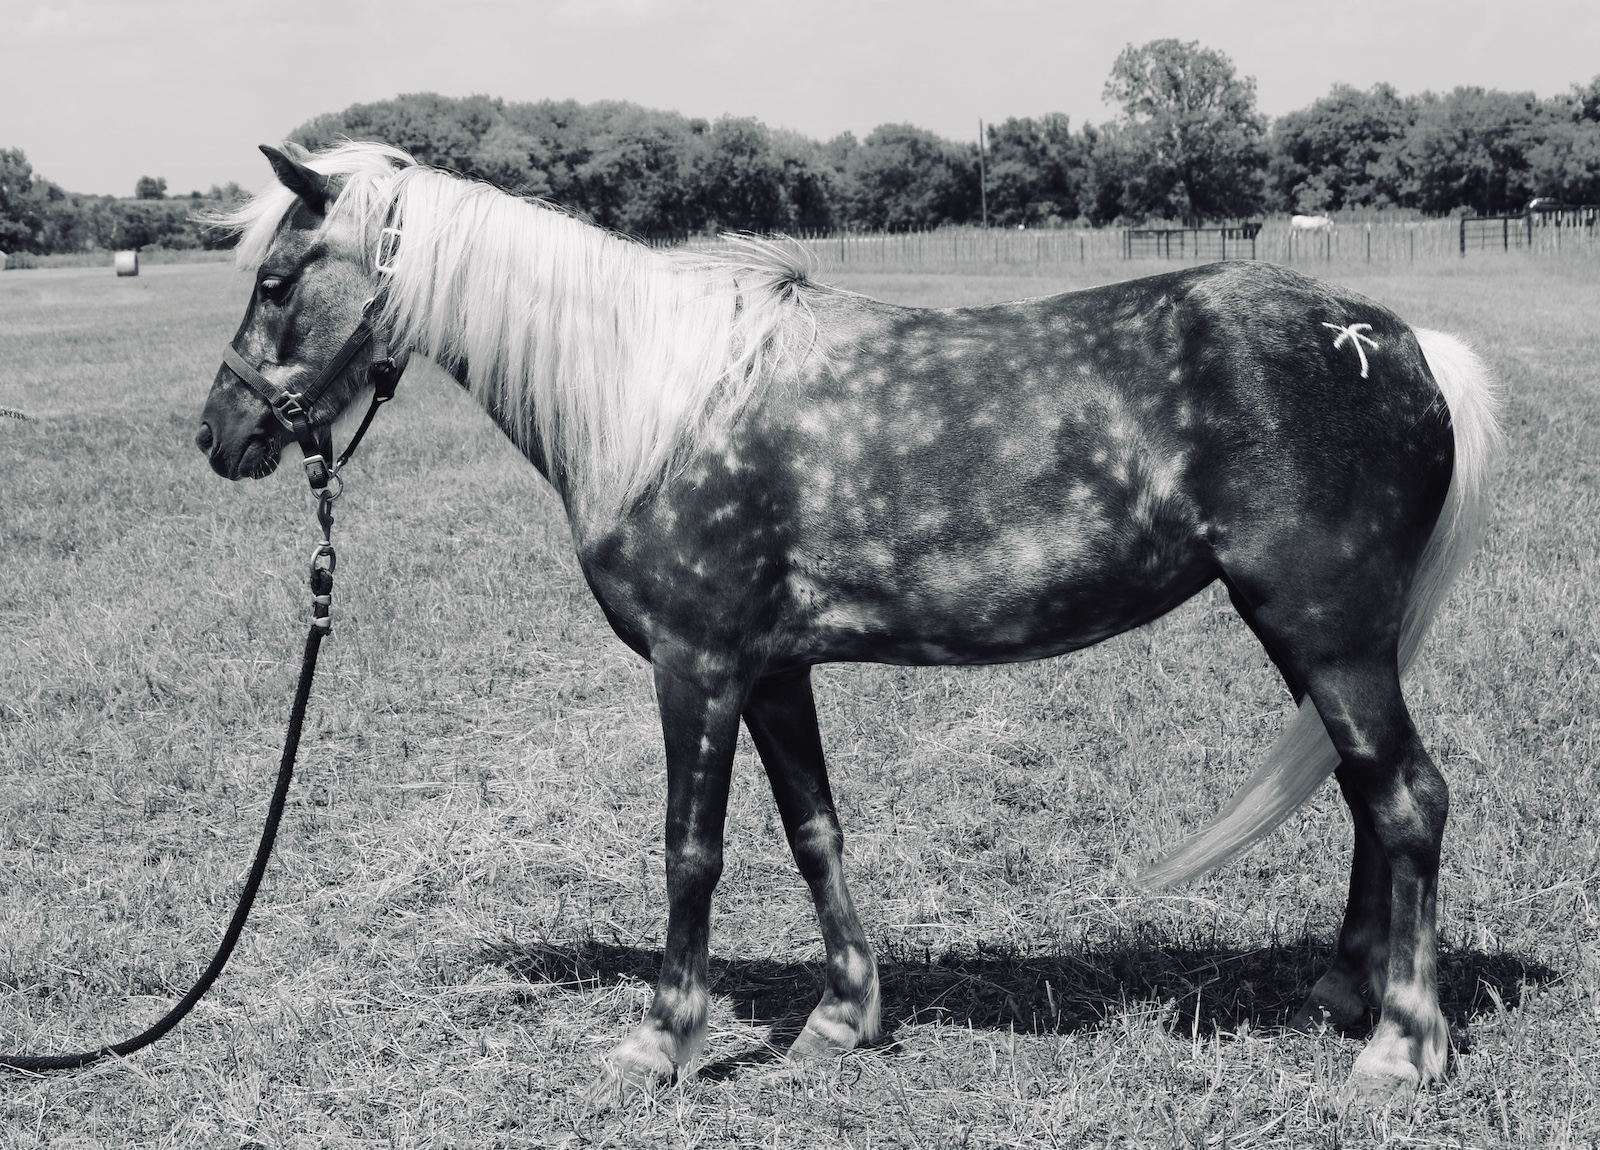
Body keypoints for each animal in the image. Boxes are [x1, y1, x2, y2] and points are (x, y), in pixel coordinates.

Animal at [196, 141, 1501, 1104]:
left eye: (276, 283)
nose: (222, 435)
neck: (660, 397)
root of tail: (1400, 343)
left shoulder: (696, 667)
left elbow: (690, 848)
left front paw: (660, 1042)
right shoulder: (775, 672)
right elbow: (812, 829)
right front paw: (840, 1016)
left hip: (1324, 632)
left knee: (1407, 799)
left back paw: (1399, 1044)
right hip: (1320, 643)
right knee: (1362, 794)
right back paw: (1345, 992)